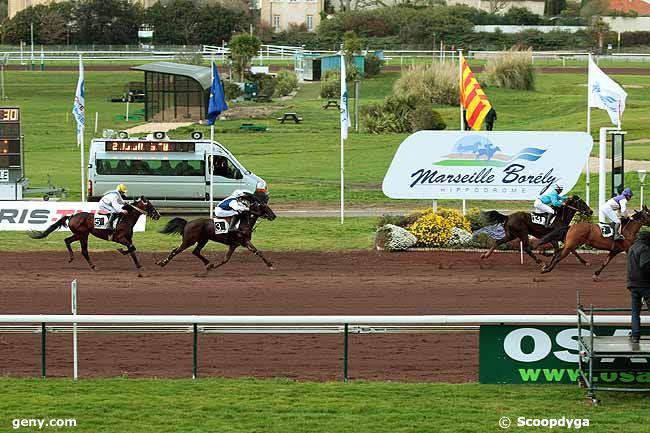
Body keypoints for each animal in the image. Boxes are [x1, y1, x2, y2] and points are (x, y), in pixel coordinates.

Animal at [26, 197, 161, 276]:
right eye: (150, 205)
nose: (158, 215)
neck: (126, 218)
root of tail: (71, 216)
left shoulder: (128, 239)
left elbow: (133, 250)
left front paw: (139, 267)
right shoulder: (120, 238)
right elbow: (131, 248)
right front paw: (122, 250)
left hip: (78, 234)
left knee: (67, 240)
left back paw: (71, 258)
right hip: (83, 235)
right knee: (84, 251)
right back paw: (93, 266)